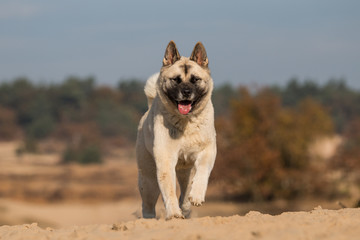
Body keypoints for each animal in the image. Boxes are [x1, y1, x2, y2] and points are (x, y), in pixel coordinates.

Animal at [136, 40, 217, 219]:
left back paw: (186, 207)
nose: (186, 92)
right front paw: (173, 214)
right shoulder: (166, 160)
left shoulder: (207, 151)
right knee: (148, 204)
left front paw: (197, 196)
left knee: (185, 192)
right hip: (149, 179)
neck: (186, 122)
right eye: (176, 80)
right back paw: (151, 219)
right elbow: (169, 190)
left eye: (195, 79)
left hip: (185, 171)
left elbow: (202, 172)